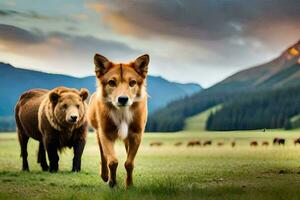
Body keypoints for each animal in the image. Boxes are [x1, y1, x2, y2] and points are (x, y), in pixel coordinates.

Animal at [87, 53, 149, 188]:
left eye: (132, 82)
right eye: (111, 82)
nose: (123, 99)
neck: (122, 112)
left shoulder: (136, 135)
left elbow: (129, 163)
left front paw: (129, 185)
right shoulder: (105, 134)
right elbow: (112, 161)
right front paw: (112, 183)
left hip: (126, 139)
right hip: (98, 134)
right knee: (103, 156)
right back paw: (105, 175)